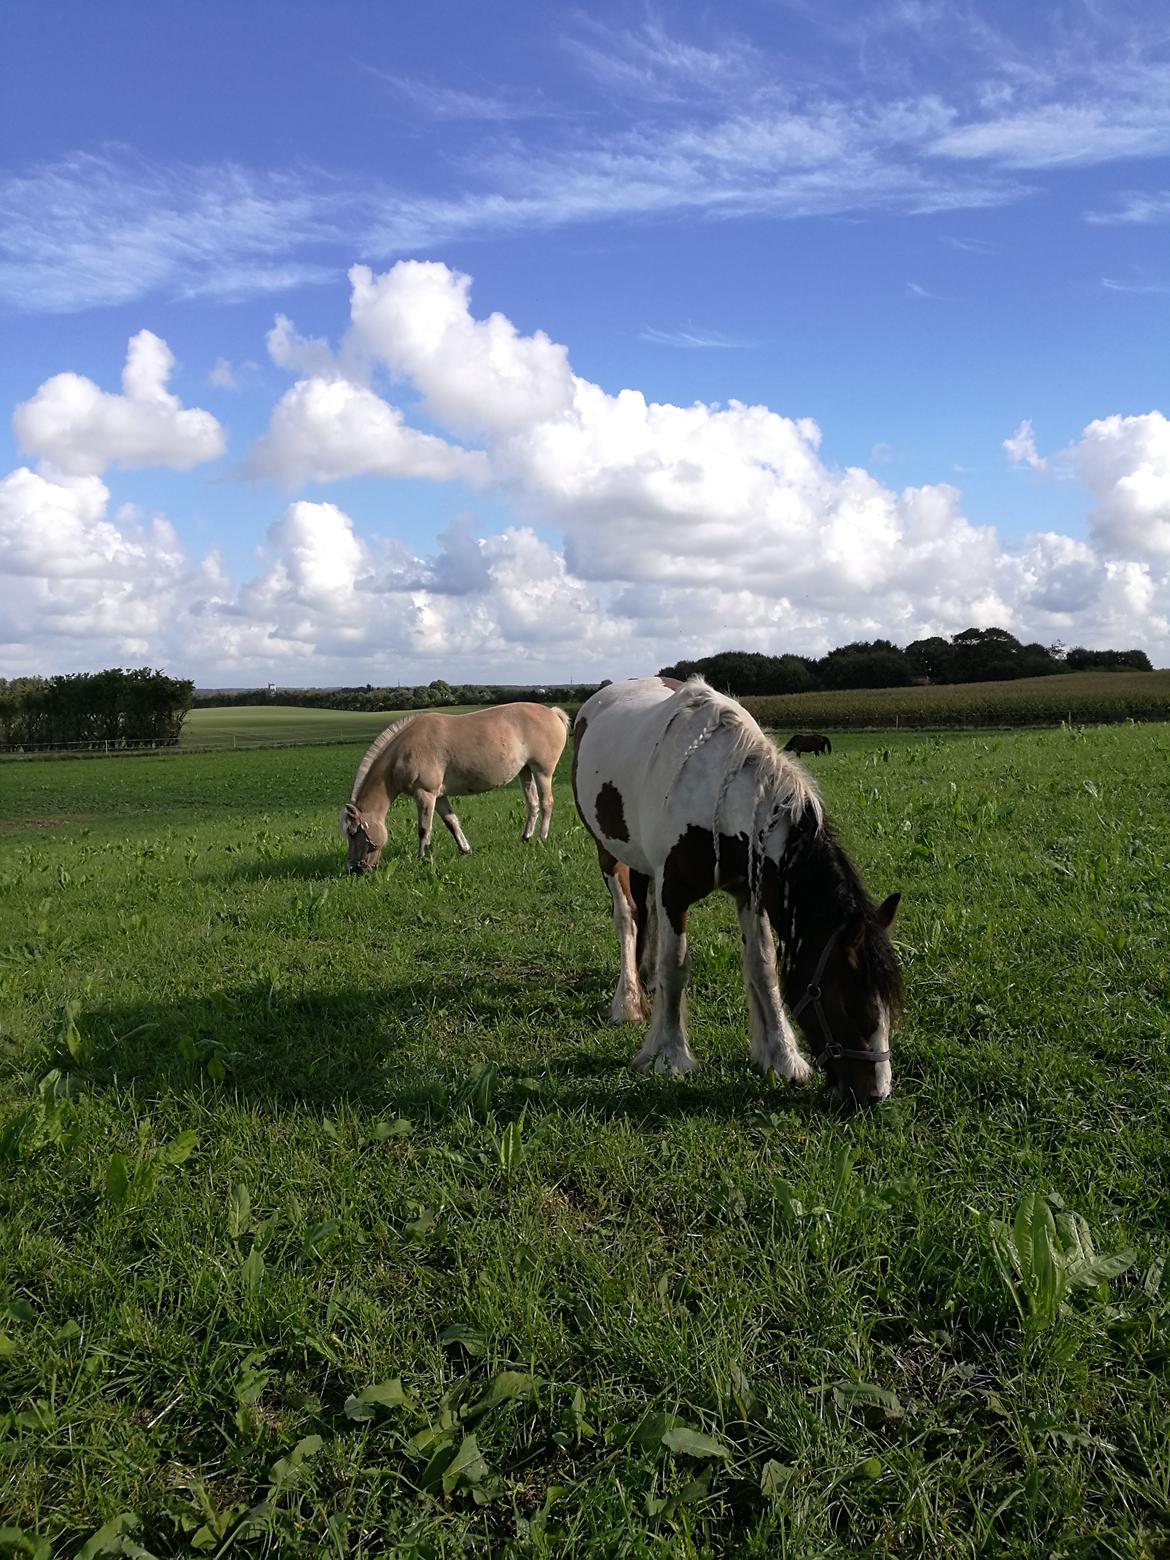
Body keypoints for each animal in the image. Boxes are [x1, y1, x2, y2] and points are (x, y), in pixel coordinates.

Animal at [338, 705, 574, 873]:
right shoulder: (439, 796)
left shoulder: (425, 794)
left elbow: (424, 829)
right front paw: (465, 849)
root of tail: (552, 712)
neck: (405, 751)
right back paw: (526, 837)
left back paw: (542, 837)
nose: (353, 869)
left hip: (542, 772)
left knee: (546, 803)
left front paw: (421, 857)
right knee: (532, 804)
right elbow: (452, 823)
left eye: (354, 833)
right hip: (525, 772)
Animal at [574, 677, 904, 1104]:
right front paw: (669, 1055)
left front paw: (783, 1057)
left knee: (646, 916)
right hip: (608, 854)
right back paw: (629, 1000)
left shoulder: (751, 892)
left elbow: (763, 967)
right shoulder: (674, 891)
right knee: (627, 917)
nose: (875, 1094)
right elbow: (676, 966)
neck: (718, 794)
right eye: (848, 1002)